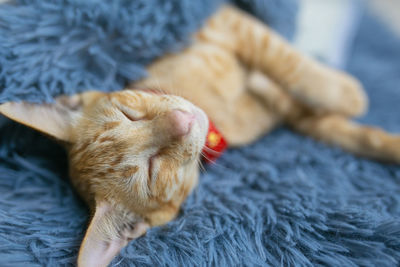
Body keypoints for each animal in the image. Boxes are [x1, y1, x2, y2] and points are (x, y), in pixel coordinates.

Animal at [0, 4, 400, 267]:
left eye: (131, 114)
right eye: (152, 168)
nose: (181, 119)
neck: (223, 117)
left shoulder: (223, 21)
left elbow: (284, 59)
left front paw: (343, 92)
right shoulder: (296, 116)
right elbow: (339, 124)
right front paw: (353, 101)